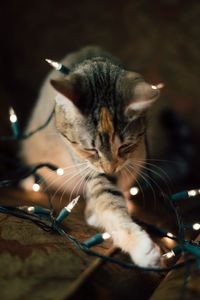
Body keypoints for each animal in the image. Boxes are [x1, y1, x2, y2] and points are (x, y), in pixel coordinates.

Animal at [20, 46, 161, 268]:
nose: (111, 169)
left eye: (125, 147)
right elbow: (108, 201)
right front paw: (141, 247)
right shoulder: (90, 168)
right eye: (91, 150)